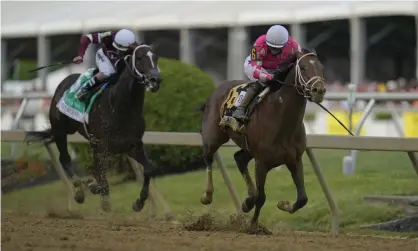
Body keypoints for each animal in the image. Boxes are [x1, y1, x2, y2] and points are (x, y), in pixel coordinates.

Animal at [24, 44, 165, 213]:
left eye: (156, 57)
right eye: (139, 58)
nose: (155, 80)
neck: (121, 108)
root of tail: (64, 81)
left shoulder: (133, 145)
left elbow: (149, 168)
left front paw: (139, 202)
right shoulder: (99, 144)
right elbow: (100, 175)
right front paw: (98, 192)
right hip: (60, 130)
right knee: (64, 158)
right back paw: (79, 191)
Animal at [197, 48, 326, 229]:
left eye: (321, 67)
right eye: (303, 67)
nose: (318, 90)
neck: (282, 120)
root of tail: (218, 87)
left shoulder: (294, 159)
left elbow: (302, 198)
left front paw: (283, 204)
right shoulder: (261, 163)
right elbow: (262, 197)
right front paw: (253, 226)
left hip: (247, 147)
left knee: (239, 158)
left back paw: (247, 201)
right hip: (214, 136)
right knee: (208, 156)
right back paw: (207, 195)